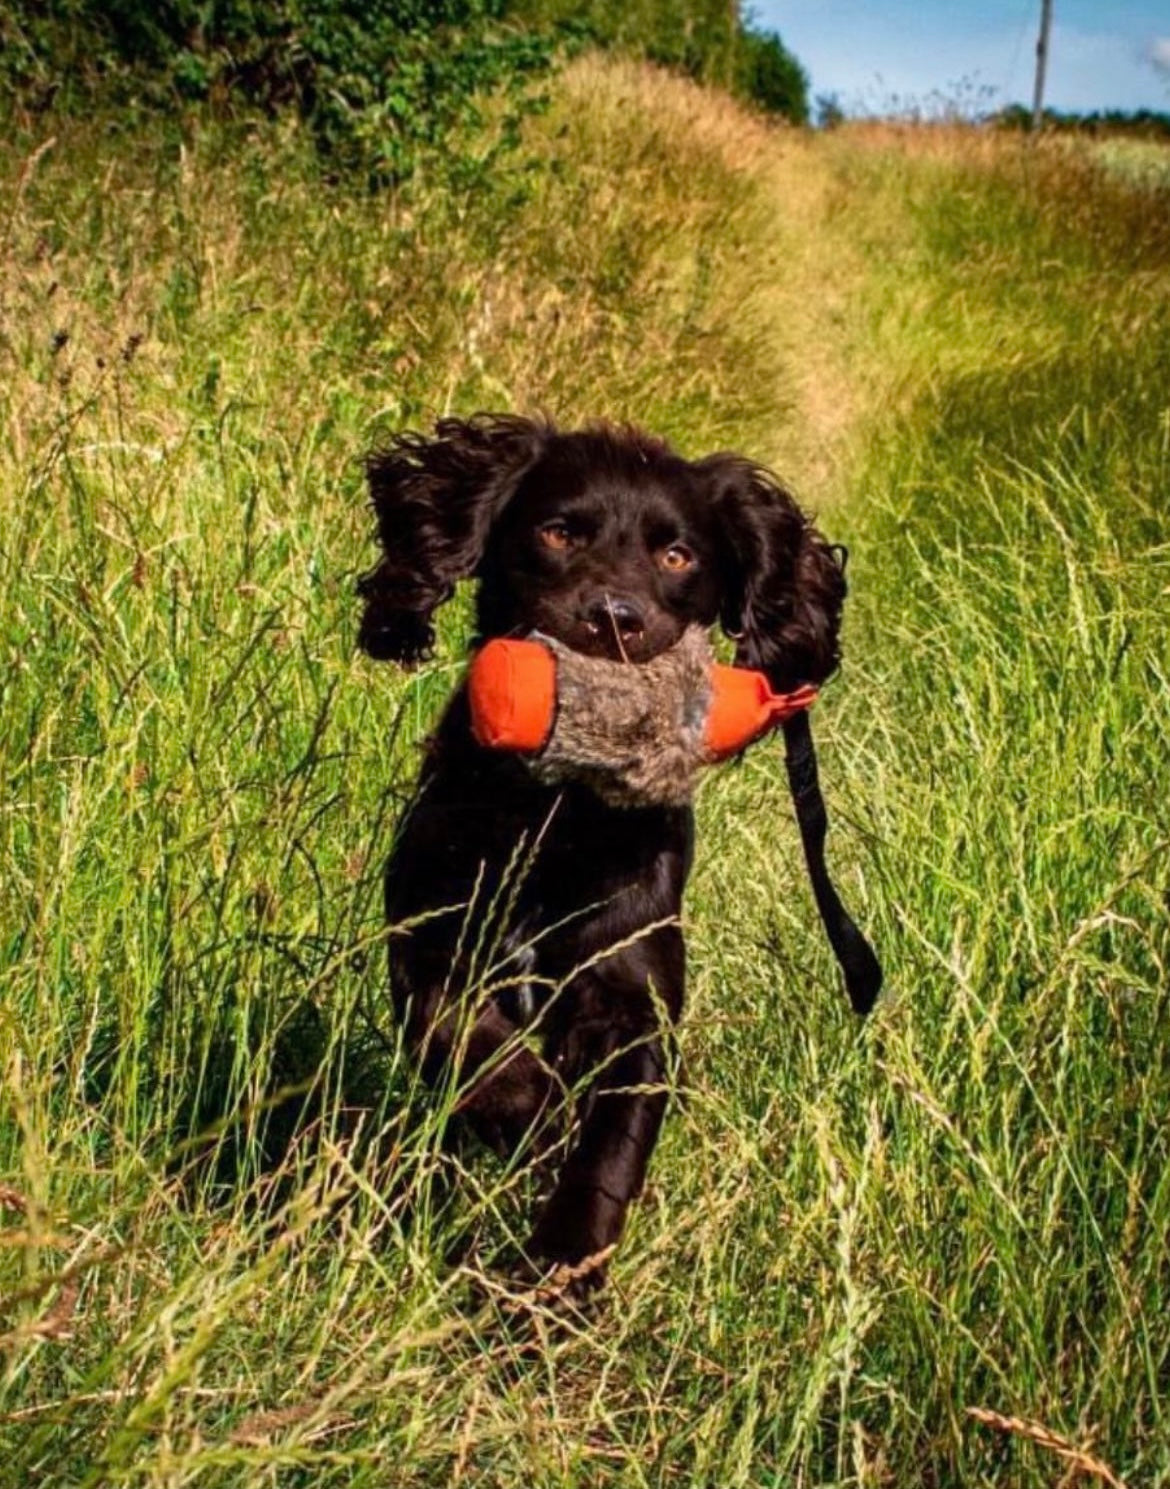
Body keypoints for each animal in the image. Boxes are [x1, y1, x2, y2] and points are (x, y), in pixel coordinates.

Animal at [355, 416, 875, 1292]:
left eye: (678, 555)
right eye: (558, 532)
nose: (613, 618)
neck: (558, 816)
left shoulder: (632, 999)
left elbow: (607, 1156)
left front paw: (559, 1278)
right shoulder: (426, 938)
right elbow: (462, 1035)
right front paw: (533, 1114)